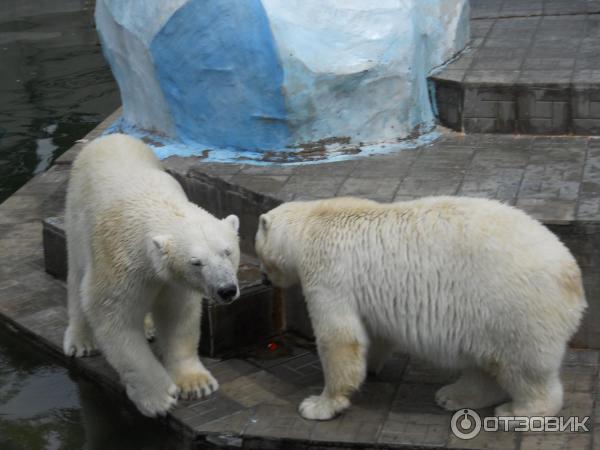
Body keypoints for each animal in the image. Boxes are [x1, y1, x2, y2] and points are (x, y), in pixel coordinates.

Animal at [63, 134, 241, 418]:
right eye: (196, 262)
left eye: (228, 251)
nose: (226, 290)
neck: (154, 205)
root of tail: (109, 137)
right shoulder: (118, 261)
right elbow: (114, 319)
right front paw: (159, 398)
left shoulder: (173, 281)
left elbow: (178, 317)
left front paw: (196, 384)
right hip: (77, 213)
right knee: (77, 274)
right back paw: (82, 341)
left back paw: (147, 326)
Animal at [254, 197, 584, 422]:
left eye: (259, 253)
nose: (264, 278)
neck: (315, 220)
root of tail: (573, 278)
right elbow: (373, 333)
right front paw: (370, 366)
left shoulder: (329, 273)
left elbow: (339, 339)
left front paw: (318, 405)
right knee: (485, 364)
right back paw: (454, 395)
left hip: (515, 307)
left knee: (523, 367)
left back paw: (516, 410)